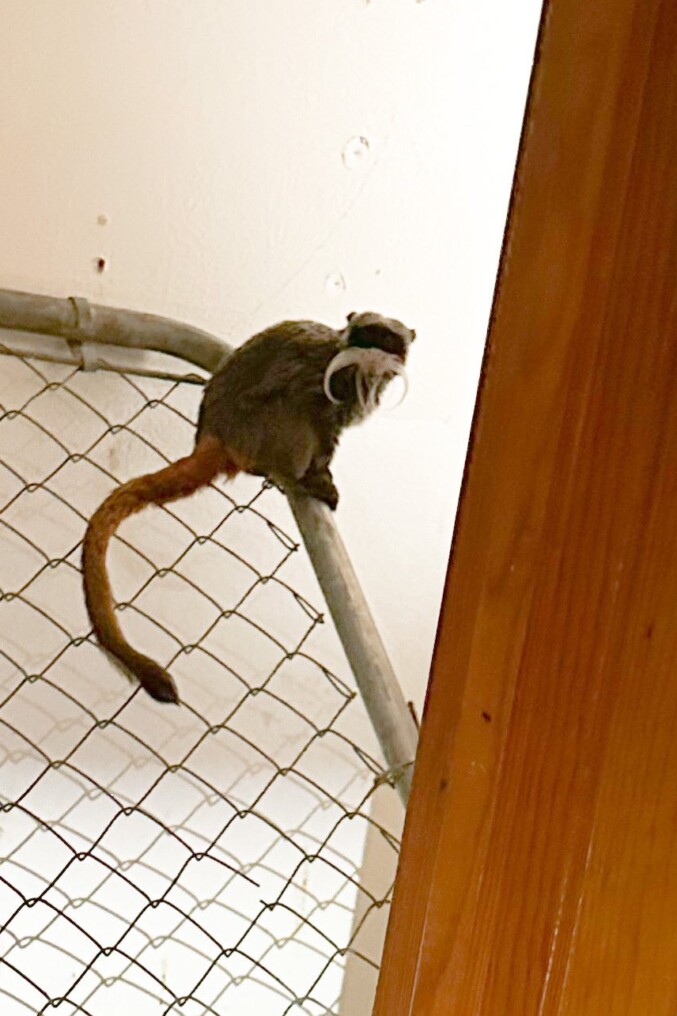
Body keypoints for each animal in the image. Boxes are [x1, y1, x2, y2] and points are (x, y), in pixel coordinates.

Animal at [82, 311, 415, 705]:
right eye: (364, 334)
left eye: (384, 338)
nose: (367, 350)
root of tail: (214, 433)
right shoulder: (324, 375)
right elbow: (309, 406)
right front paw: (317, 473)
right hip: (258, 430)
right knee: (294, 407)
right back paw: (297, 477)